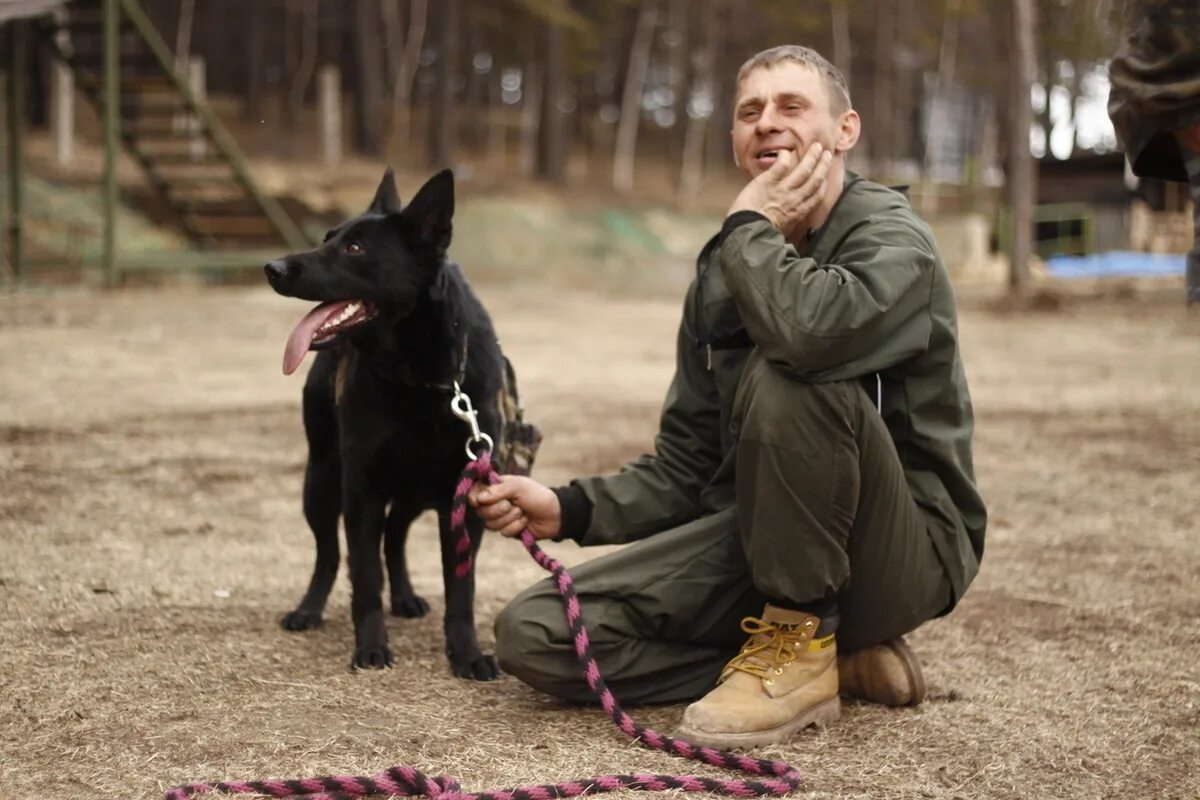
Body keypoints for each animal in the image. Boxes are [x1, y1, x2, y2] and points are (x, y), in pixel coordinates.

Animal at [265, 170, 508, 681]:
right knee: (329, 555)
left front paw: (467, 654)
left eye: (355, 248)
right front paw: (372, 646)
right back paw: (309, 609)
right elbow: (363, 573)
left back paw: (406, 596)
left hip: (412, 492)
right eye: (326, 238)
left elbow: (461, 588)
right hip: (321, 483)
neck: (422, 380)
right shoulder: (362, 491)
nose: (271, 268)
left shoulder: (464, 497)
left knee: (394, 537)